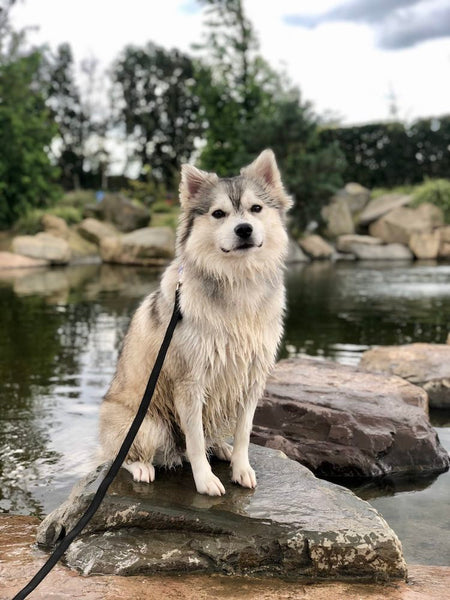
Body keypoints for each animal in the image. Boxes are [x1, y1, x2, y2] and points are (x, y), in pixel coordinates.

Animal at [98, 150, 292, 496]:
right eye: (218, 213)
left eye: (256, 209)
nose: (244, 229)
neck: (238, 283)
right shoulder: (190, 382)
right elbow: (196, 440)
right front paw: (205, 480)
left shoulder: (251, 378)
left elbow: (244, 432)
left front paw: (241, 467)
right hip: (147, 424)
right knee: (121, 456)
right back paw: (142, 466)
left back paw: (222, 448)